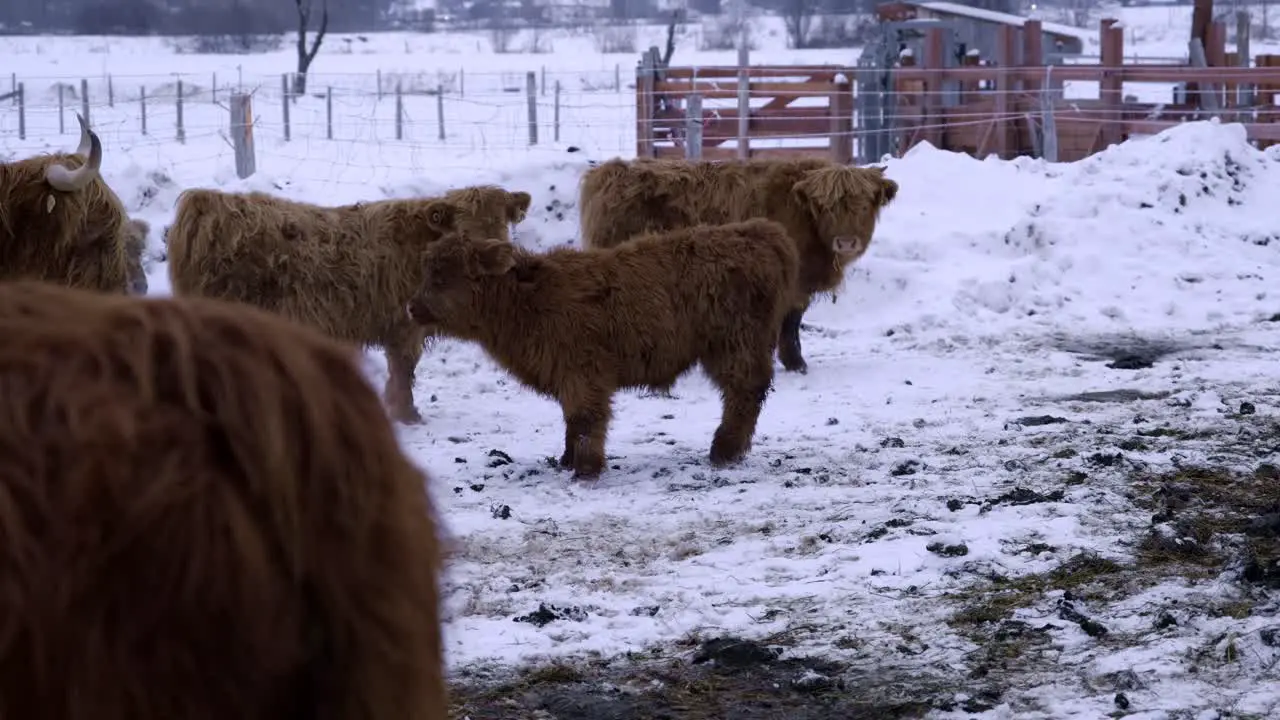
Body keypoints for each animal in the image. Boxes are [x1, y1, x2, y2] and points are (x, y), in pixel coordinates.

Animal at [166, 181, 535, 422]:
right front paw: (405, 414)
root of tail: (207, 201)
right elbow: (403, 368)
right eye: (464, 229)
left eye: (500, 223)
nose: (494, 254)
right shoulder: (405, 323)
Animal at [407, 219, 798, 476]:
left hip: (735, 345)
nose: (411, 306)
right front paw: (566, 460)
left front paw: (585, 468)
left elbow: (585, 419)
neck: (529, 303)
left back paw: (724, 451)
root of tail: (757, 231)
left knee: (744, 393)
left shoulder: (584, 372)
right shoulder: (567, 375)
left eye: (441, 278)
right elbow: (571, 419)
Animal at [581, 156, 901, 376]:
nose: (846, 242)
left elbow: (793, 320)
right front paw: (793, 362)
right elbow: (786, 323)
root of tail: (609, 171)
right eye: (826, 206)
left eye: (865, 204)